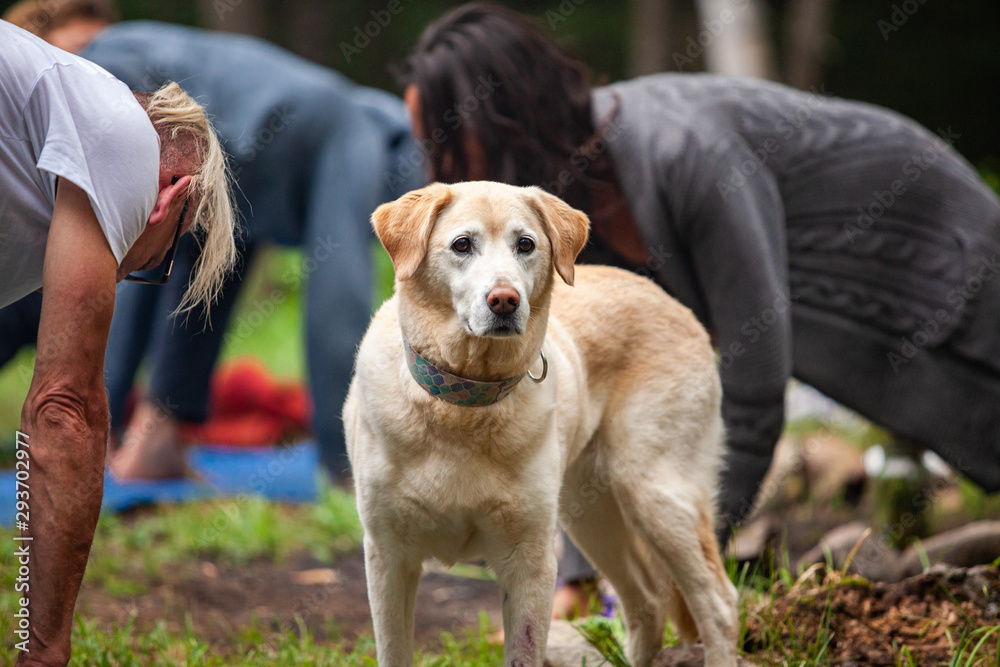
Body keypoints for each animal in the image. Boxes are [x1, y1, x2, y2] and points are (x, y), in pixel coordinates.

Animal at [346, 183, 744, 667]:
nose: (505, 300)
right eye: (461, 245)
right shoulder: (388, 557)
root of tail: (673, 302)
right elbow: (393, 651)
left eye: (525, 245)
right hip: (589, 510)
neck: (464, 403)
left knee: (718, 604)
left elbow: (524, 651)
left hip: (656, 494)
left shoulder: (530, 562)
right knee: (647, 604)